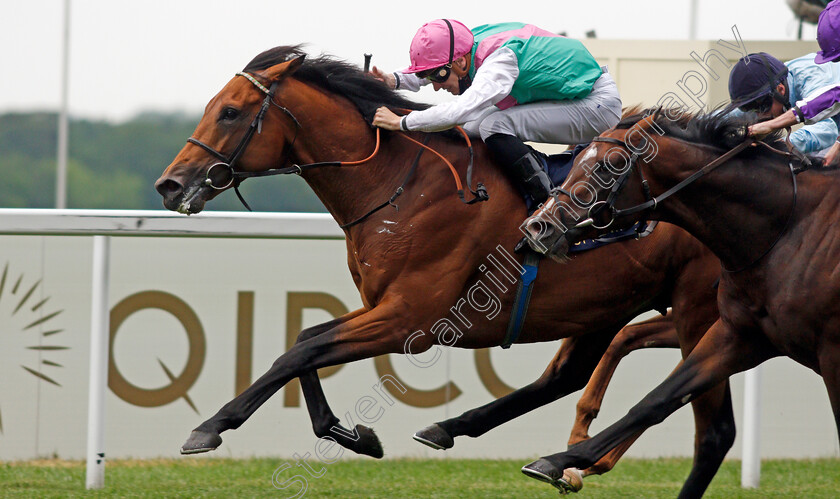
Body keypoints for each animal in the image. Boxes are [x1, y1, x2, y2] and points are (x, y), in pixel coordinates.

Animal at [154, 47, 724, 496]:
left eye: (230, 112)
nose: (169, 184)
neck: (399, 186)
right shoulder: (380, 305)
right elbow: (306, 340)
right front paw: (351, 434)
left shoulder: (412, 321)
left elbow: (296, 354)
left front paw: (210, 427)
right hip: (605, 306)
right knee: (569, 375)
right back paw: (475, 435)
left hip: (696, 309)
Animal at [520, 108, 836, 496]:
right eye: (577, 160)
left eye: (607, 167)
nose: (537, 227)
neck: (786, 227)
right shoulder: (741, 334)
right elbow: (657, 399)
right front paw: (563, 459)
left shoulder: (829, 353)